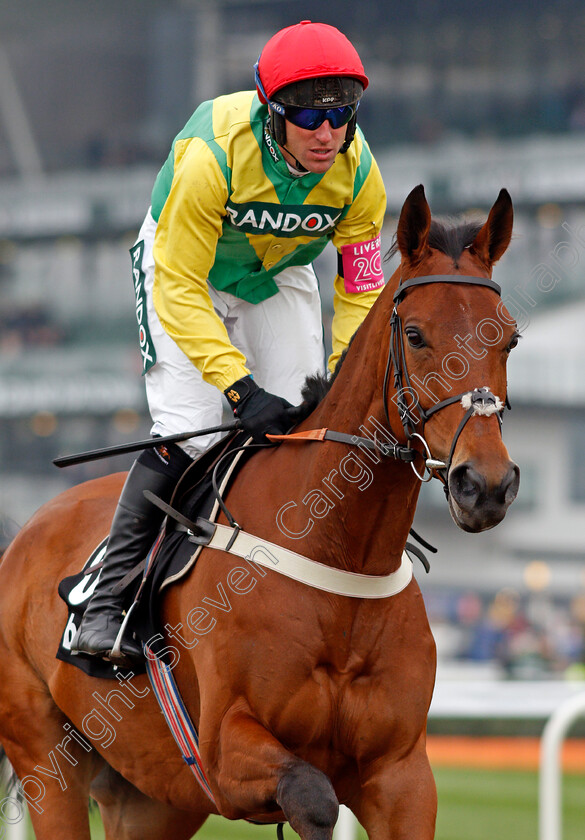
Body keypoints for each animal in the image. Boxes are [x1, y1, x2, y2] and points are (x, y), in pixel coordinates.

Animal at [0, 185, 516, 840]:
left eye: (509, 338)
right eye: (418, 336)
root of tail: (29, 530)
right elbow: (314, 797)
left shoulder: (401, 775)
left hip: (152, 795)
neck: (337, 551)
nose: (487, 484)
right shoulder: (223, 753)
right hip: (46, 757)